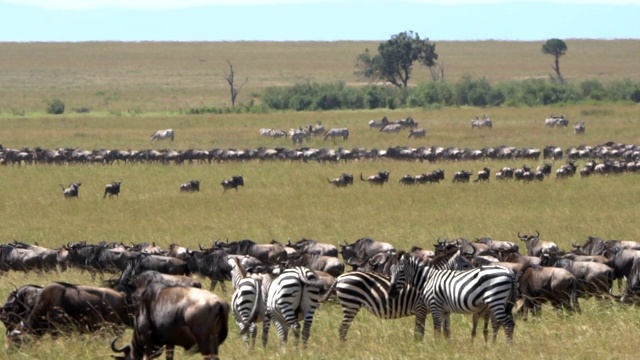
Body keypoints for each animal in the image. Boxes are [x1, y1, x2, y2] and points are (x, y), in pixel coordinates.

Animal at [332, 248, 472, 340]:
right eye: (466, 265)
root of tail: (340, 277)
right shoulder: (421, 308)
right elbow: (419, 333)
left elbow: (444, 331)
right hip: (351, 303)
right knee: (342, 329)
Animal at [388, 253, 516, 344]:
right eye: (390, 271)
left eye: (402, 271)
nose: (391, 293)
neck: (428, 279)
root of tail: (508, 272)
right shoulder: (445, 310)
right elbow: (446, 330)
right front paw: (447, 347)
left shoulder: (435, 305)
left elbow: (437, 328)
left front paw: (436, 346)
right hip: (503, 303)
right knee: (505, 323)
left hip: (496, 300)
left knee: (508, 323)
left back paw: (508, 348)